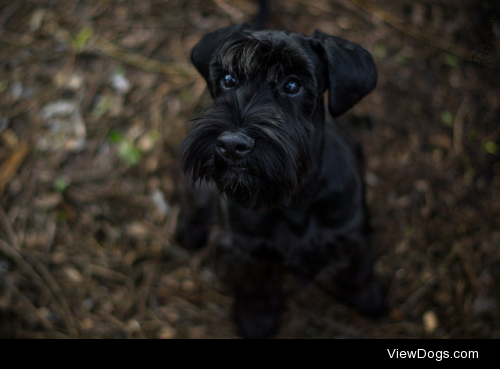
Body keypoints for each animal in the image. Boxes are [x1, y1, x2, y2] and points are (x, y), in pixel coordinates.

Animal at [180, 22, 386, 336]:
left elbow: (359, 270)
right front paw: (256, 319)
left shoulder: (351, 233)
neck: (296, 197)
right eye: (228, 79)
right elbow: (255, 287)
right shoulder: (247, 249)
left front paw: (368, 298)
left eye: (292, 85)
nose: (232, 144)